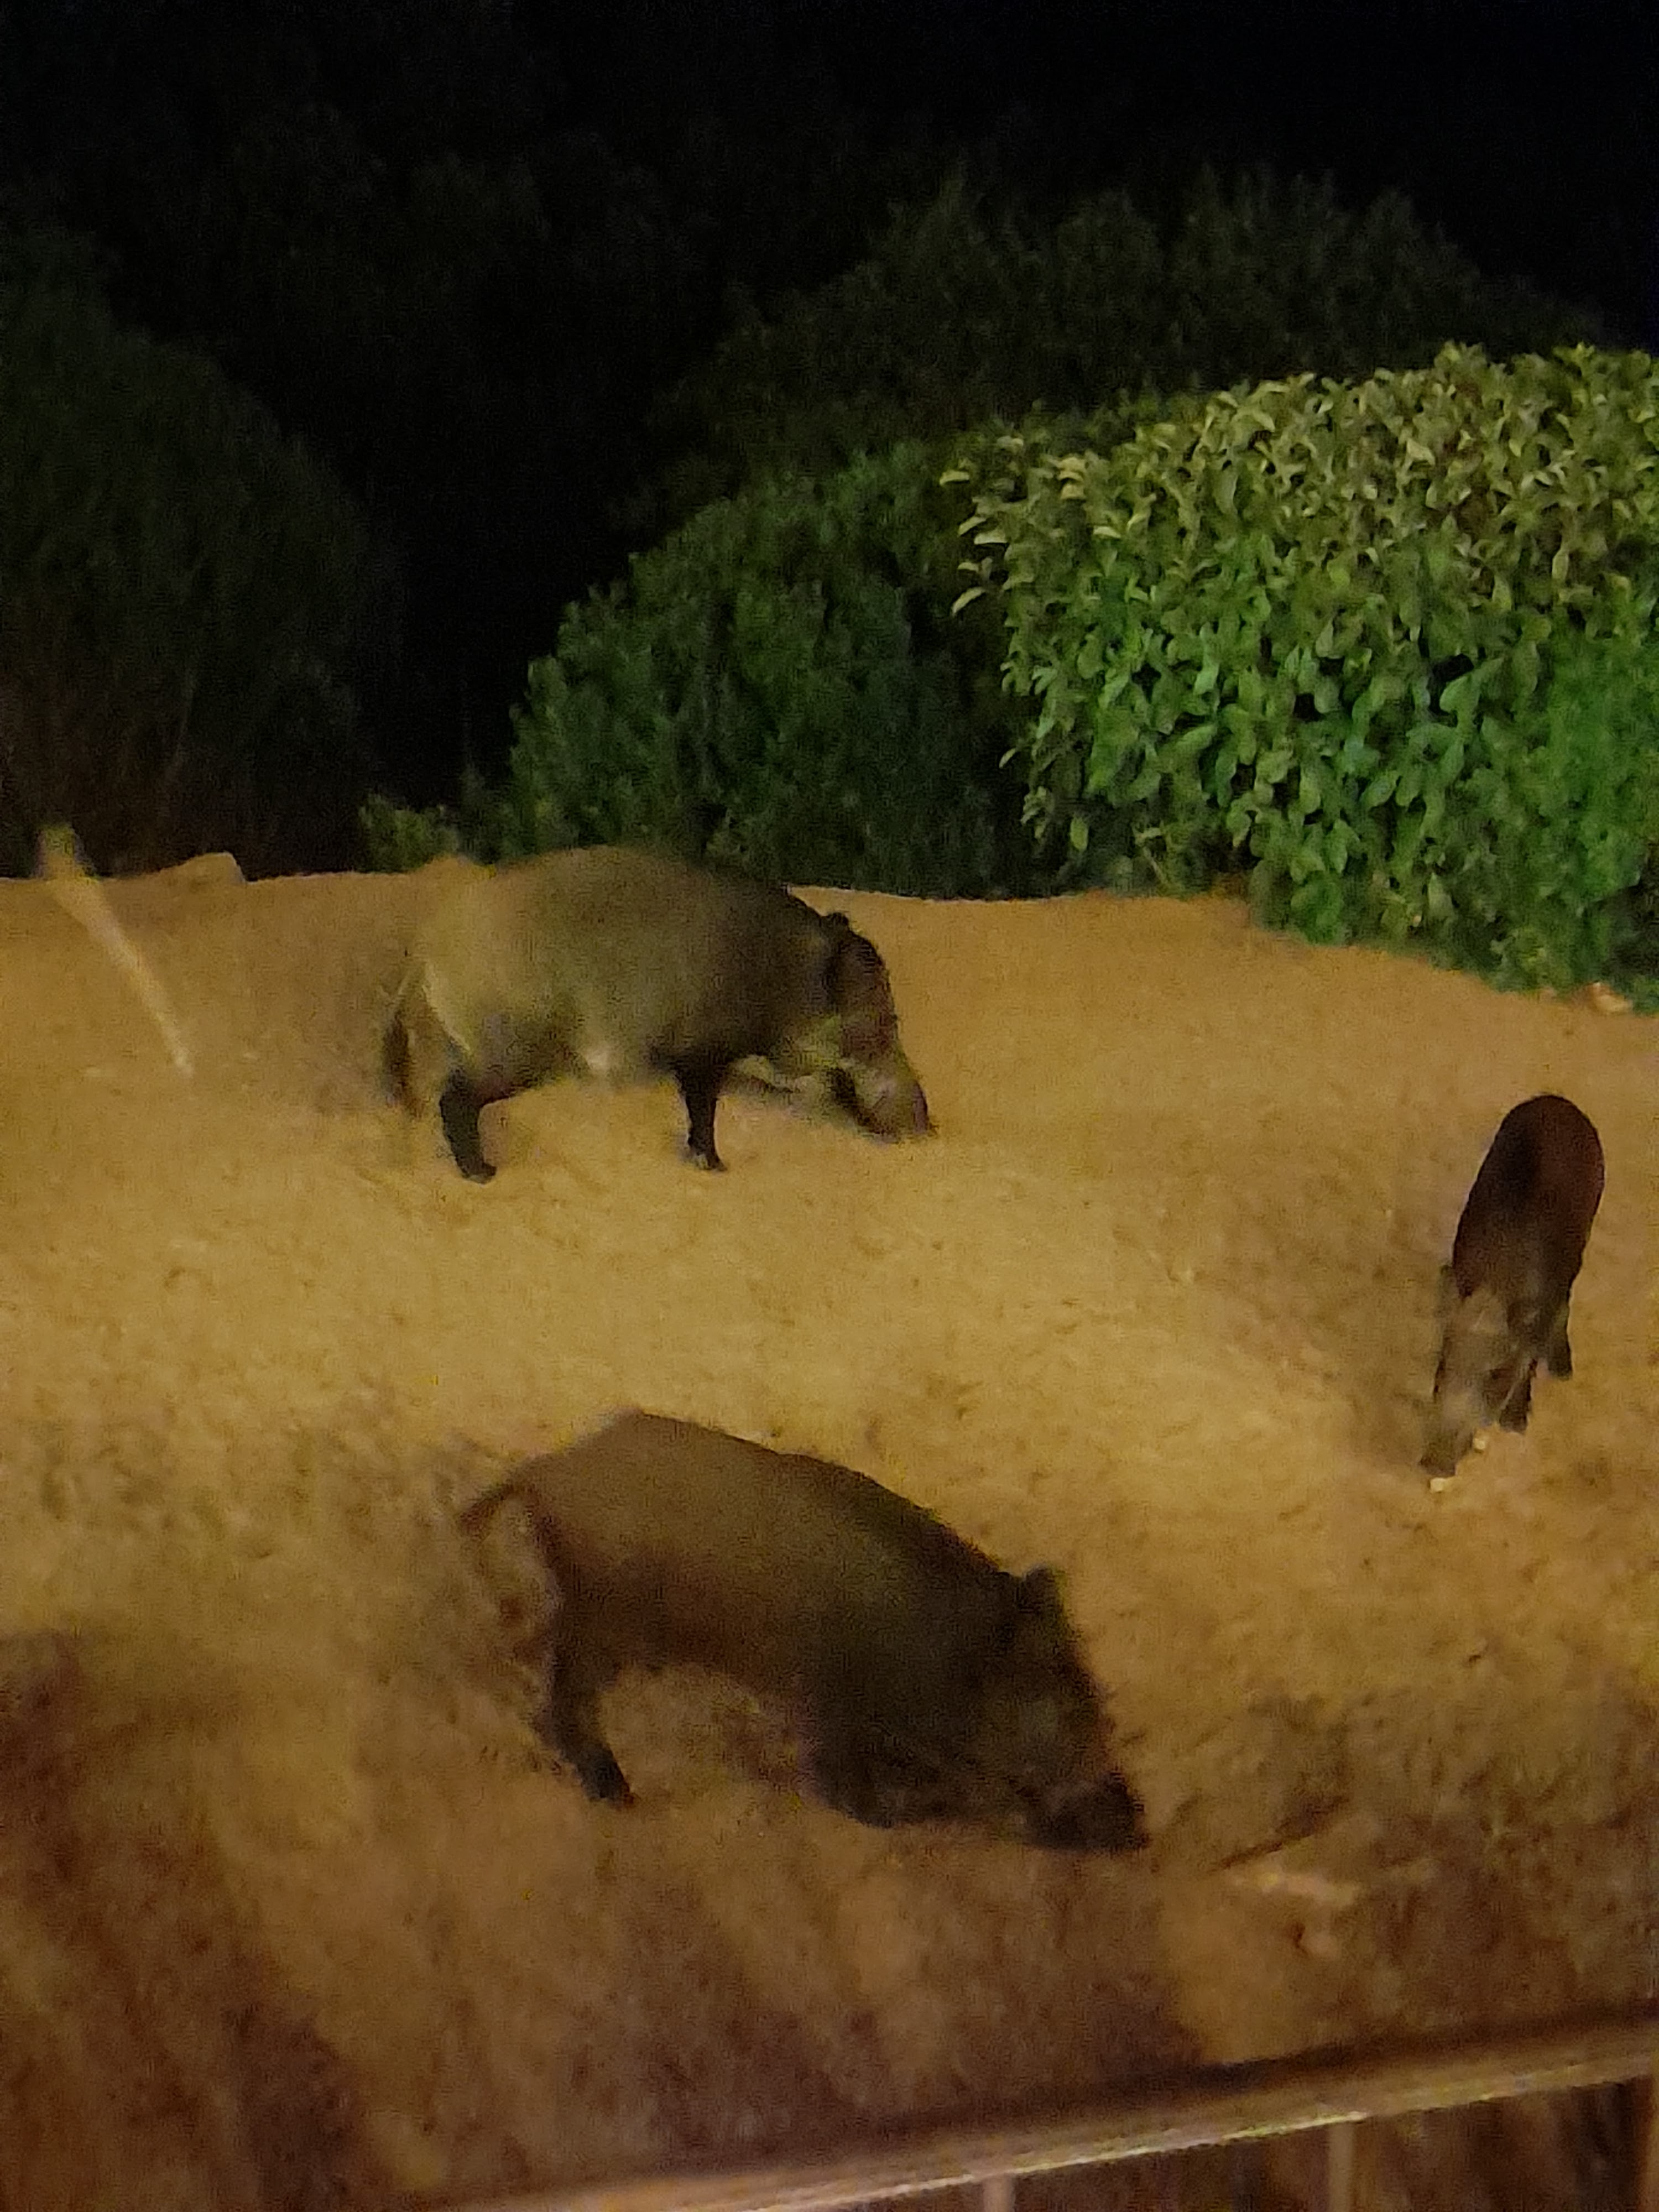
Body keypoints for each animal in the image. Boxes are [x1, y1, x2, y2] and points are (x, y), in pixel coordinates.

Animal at [384, 846, 931, 1181]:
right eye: (885, 1025)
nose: (928, 1127)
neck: (783, 978)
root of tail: (428, 952)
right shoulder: (702, 1052)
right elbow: (704, 1110)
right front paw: (715, 1165)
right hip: (515, 1050)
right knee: (455, 1099)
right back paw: (482, 1173)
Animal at [460, 1411, 1146, 1852]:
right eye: (1020, 1779)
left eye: (1100, 1708)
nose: (1141, 1830)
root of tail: (547, 1474)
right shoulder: (839, 1719)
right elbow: (857, 1792)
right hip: (608, 1622)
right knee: (563, 1695)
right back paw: (618, 1791)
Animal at [1422, 1093, 1604, 1479]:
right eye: (1443, 1363)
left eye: (1495, 1375)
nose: (1432, 1465)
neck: (1498, 1287)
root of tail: (1557, 1100)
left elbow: (1530, 1362)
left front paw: (1516, 1425)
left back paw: (1564, 1370)